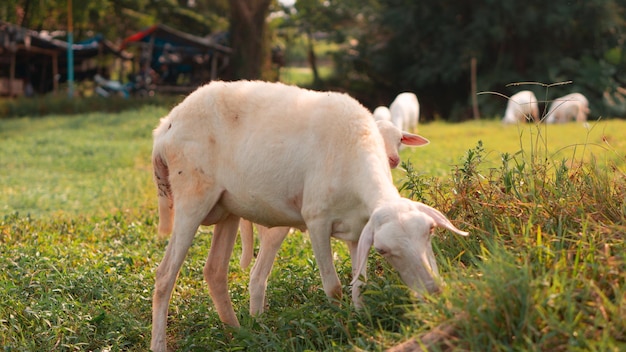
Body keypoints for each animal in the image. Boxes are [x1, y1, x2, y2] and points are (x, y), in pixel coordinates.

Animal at [236, 119, 426, 314]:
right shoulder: (319, 224)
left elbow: (359, 280)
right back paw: (257, 317)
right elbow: (333, 285)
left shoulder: (357, 229)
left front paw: (360, 314)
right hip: (274, 225)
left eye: (400, 140)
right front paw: (338, 315)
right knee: (257, 275)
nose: (394, 159)